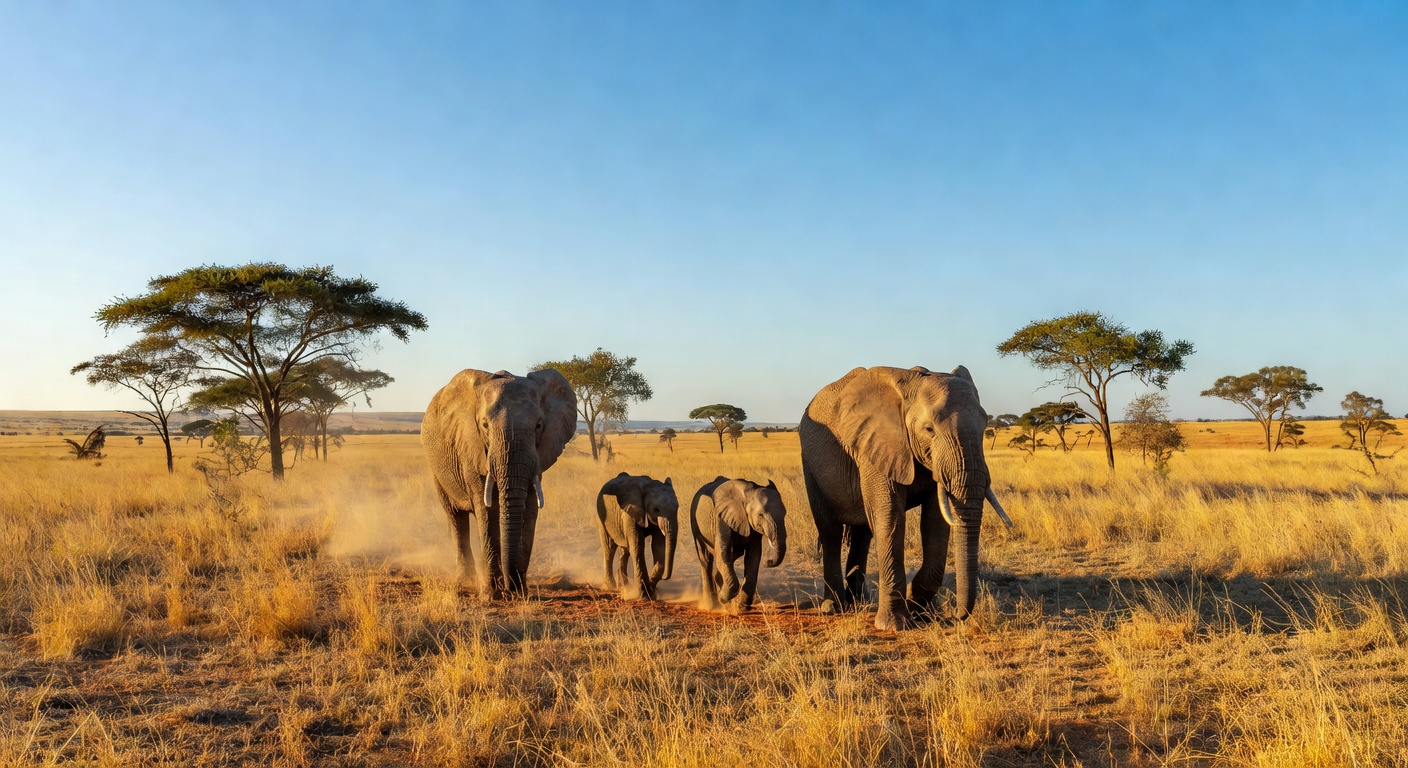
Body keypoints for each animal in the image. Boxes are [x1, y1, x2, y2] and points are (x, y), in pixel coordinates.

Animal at [421, 368, 577, 598]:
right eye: (485, 425)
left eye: (538, 425)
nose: (509, 587)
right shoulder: (471, 448)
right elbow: (487, 510)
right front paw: (492, 596)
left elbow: (530, 508)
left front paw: (520, 593)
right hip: (436, 468)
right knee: (456, 517)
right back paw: (466, 583)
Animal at [690, 476, 788, 612]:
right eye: (760, 515)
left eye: (785, 513)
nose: (768, 561)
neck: (748, 495)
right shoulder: (721, 519)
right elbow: (722, 551)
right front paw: (723, 600)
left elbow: (753, 557)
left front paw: (740, 605)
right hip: (695, 523)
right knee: (705, 559)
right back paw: (711, 606)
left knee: (732, 555)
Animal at [799, 365, 1012, 630]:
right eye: (929, 429)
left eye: (984, 427)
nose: (953, 616)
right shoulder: (876, 447)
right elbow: (890, 517)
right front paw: (895, 624)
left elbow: (935, 522)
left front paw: (919, 608)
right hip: (810, 464)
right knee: (830, 531)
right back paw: (834, 607)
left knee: (863, 533)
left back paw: (861, 602)